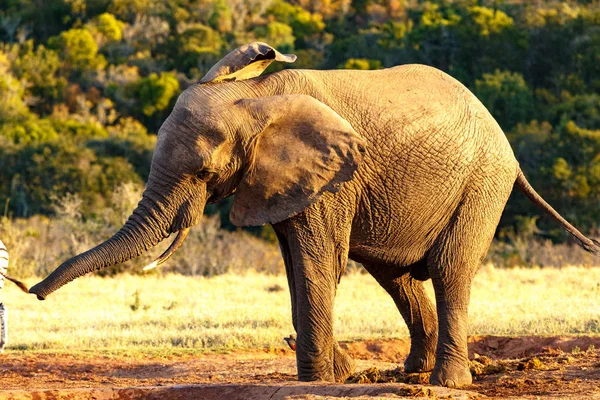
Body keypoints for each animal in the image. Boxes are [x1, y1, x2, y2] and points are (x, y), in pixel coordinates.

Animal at [29, 43, 600, 388]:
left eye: (204, 171)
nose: (30, 292)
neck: (255, 97)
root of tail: (506, 144)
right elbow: (295, 263)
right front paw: (337, 375)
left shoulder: (332, 179)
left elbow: (316, 261)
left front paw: (323, 379)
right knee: (394, 275)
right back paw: (407, 376)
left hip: (482, 183)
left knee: (449, 269)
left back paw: (446, 384)